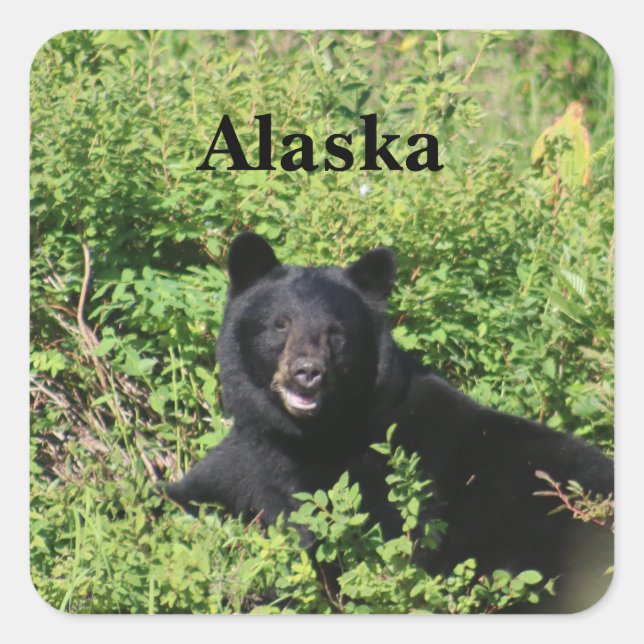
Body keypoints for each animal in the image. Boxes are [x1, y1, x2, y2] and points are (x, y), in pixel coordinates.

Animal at [164, 231, 614, 613]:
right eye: (280, 323)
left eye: (337, 332)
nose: (307, 373)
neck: (302, 436)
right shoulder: (248, 454)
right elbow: (191, 491)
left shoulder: (381, 482)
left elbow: (342, 556)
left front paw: (258, 591)